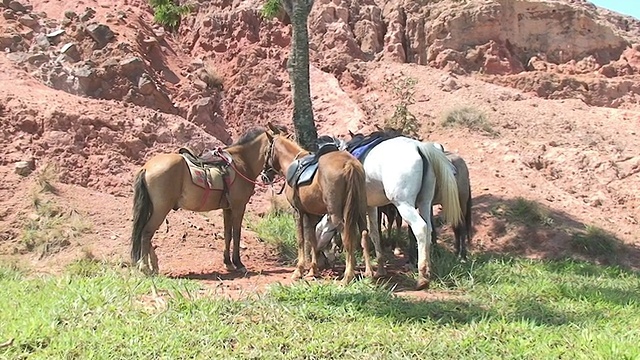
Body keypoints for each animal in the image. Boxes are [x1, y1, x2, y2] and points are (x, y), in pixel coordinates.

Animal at [129, 128, 272, 274]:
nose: (267, 177)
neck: (242, 161)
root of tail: (146, 168)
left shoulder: (227, 208)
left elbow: (228, 234)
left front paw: (228, 263)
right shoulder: (239, 206)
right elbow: (237, 234)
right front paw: (238, 263)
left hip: (153, 208)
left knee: (144, 233)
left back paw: (153, 267)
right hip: (161, 210)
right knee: (146, 233)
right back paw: (145, 267)